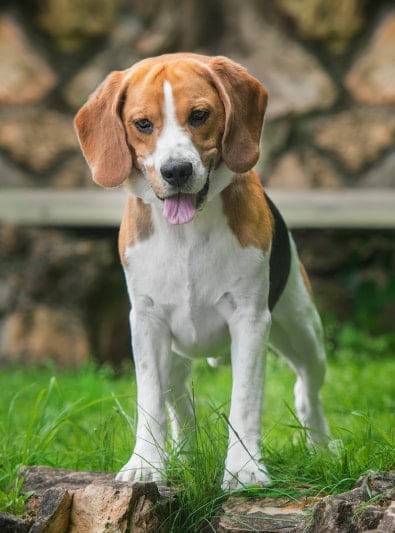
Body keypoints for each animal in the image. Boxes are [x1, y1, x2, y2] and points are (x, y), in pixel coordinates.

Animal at [75, 52, 332, 488]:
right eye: (143, 124)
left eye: (199, 115)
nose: (176, 170)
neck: (186, 234)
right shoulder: (146, 323)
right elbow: (150, 402)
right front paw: (146, 463)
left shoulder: (249, 320)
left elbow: (245, 400)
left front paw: (244, 470)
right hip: (177, 357)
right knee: (180, 406)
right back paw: (182, 455)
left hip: (303, 332)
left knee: (307, 390)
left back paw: (324, 449)